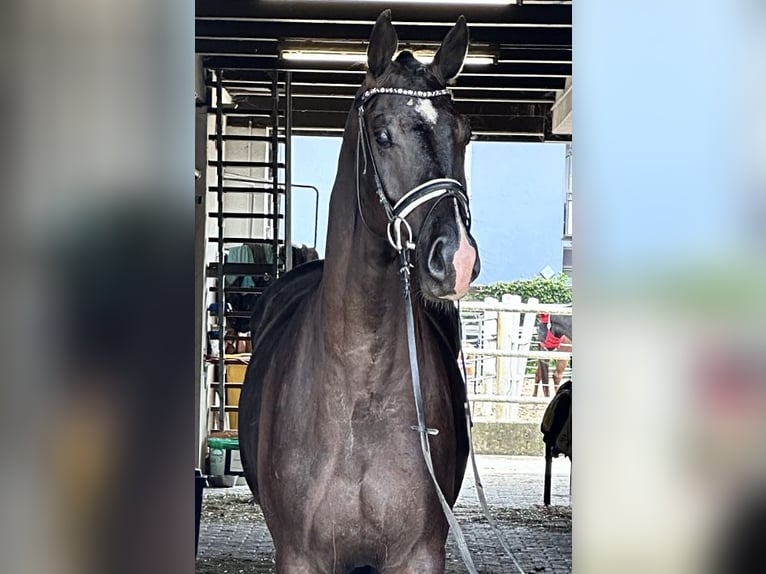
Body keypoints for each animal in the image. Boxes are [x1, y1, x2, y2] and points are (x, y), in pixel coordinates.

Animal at [240, 10, 480, 574]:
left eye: (463, 134)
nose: (455, 259)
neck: (359, 397)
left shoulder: (419, 555)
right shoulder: (300, 557)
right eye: (383, 134)